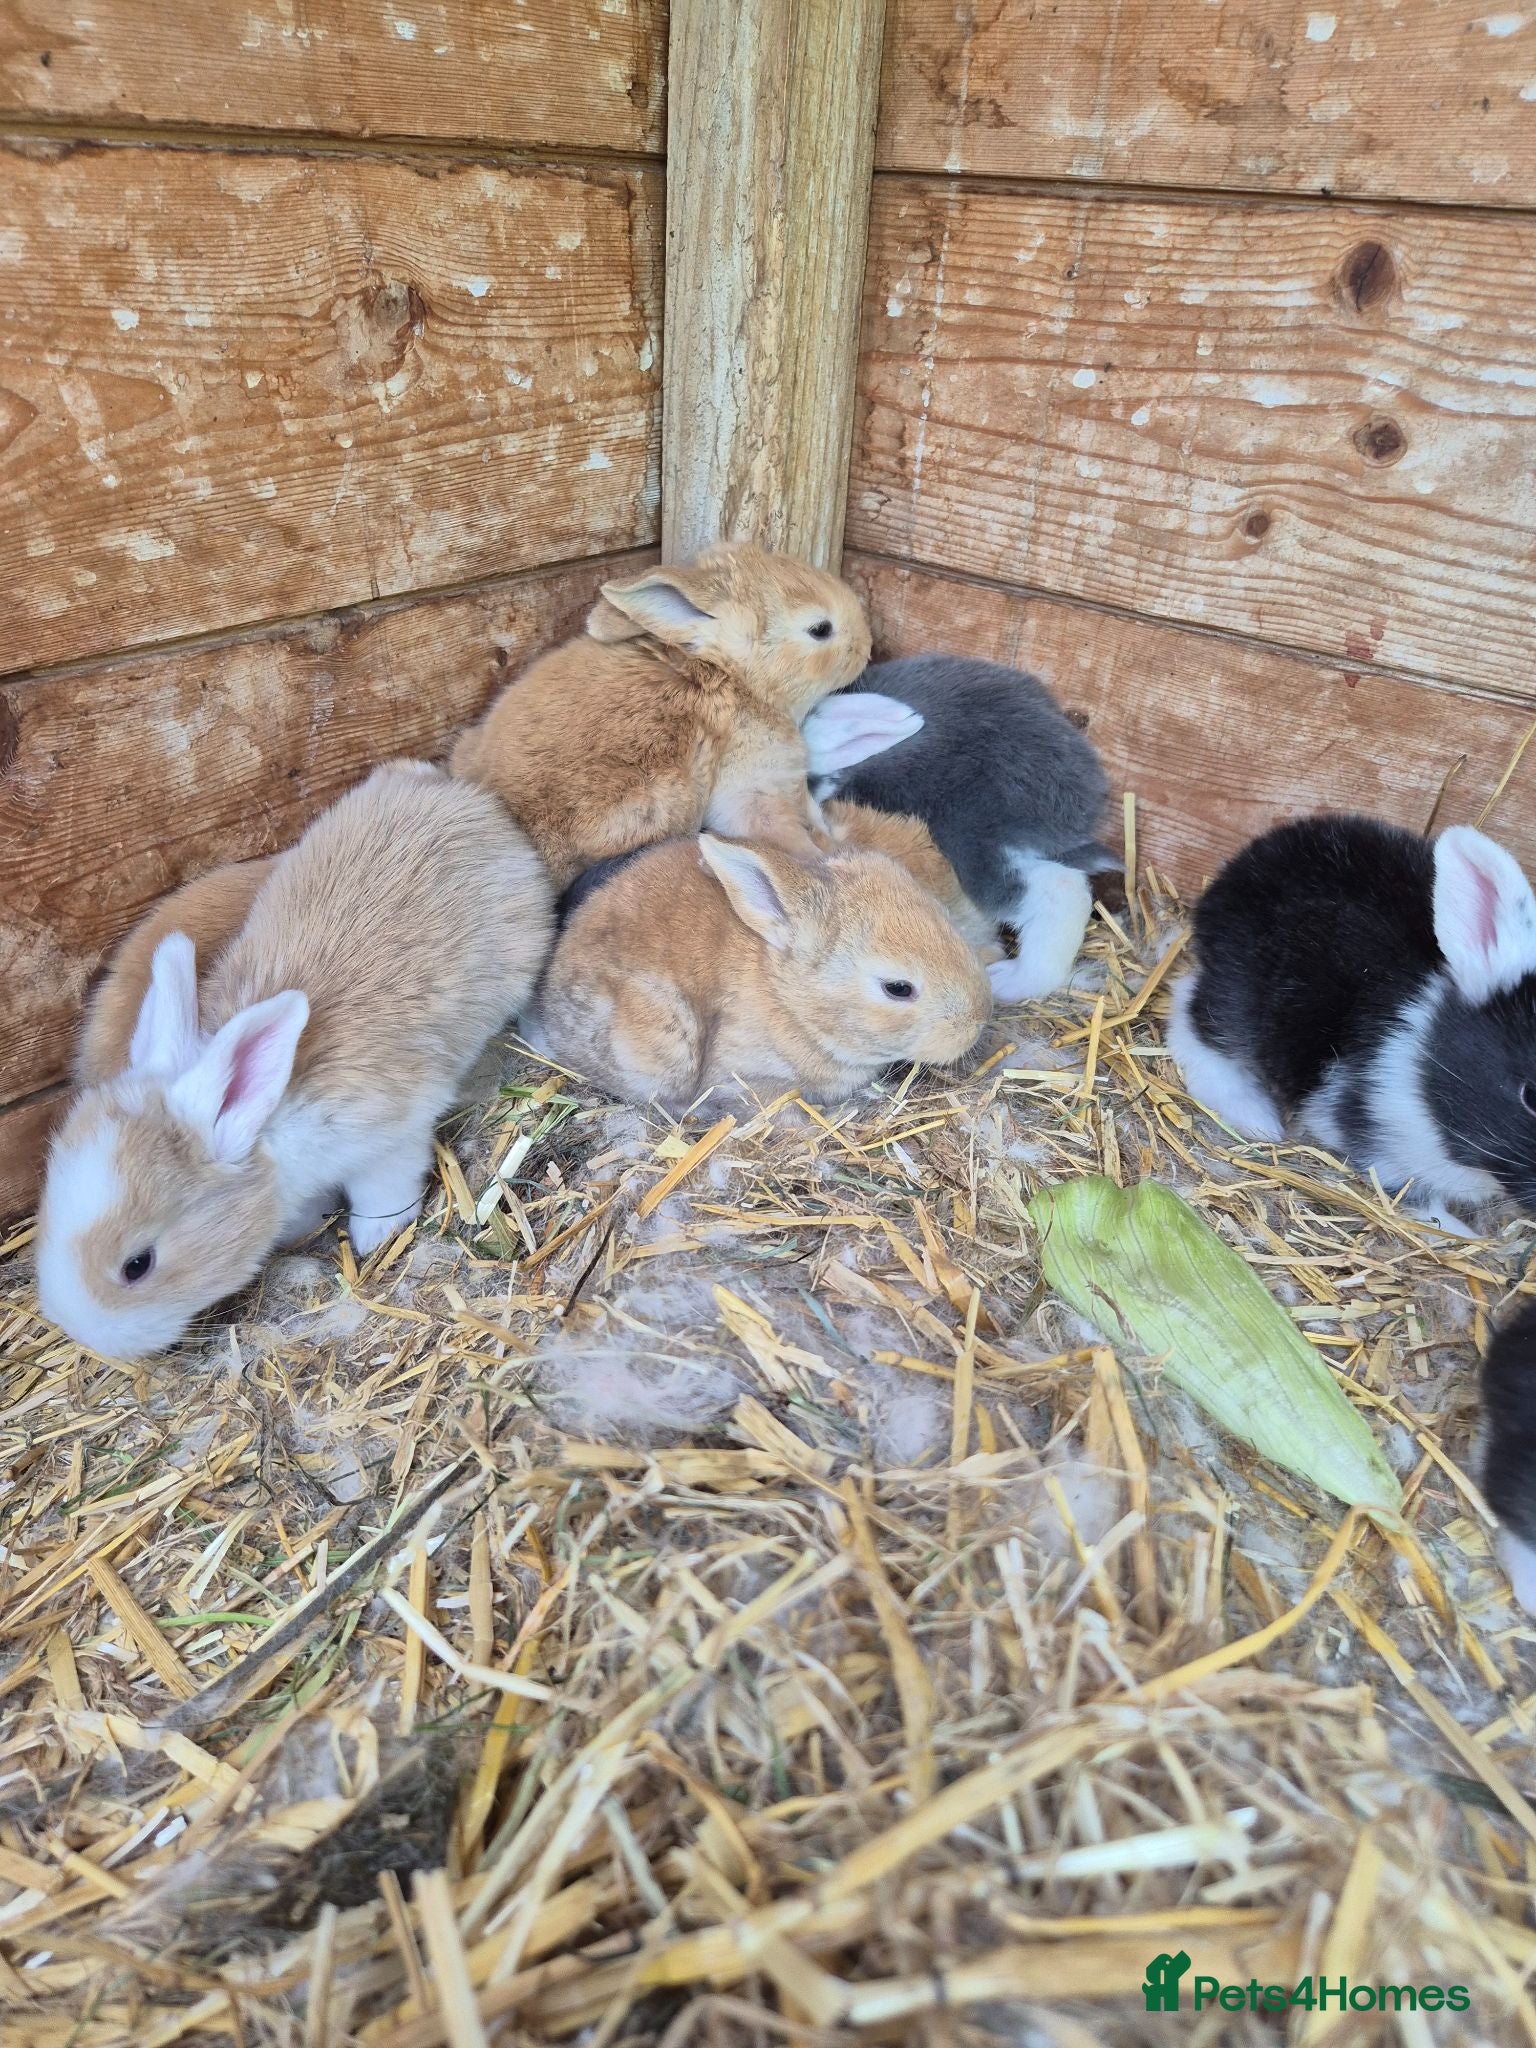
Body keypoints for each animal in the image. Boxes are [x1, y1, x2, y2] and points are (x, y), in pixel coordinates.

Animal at [450, 542, 888, 888]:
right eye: (820, 629)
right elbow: (776, 825)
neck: (736, 678)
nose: (868, 645)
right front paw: (821, 855)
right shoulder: (752, 785)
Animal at [1166, 813, 1536, 1231]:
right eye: (1531, 1096)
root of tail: (1236, 871)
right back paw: (1256, 1117)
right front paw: (1462, 1234)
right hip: (1237, 999)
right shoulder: (1376, 1141)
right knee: (1190, 1016)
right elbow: (1420, 1205)